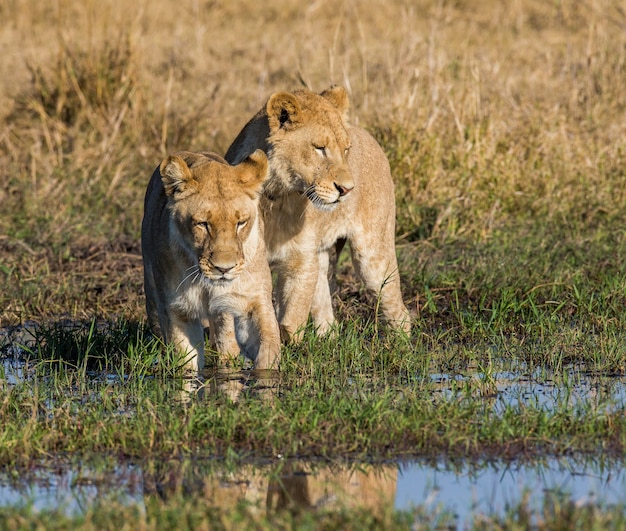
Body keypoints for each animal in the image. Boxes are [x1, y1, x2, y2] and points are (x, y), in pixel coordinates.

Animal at [141, 150, 280, 374]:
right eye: (202, 224)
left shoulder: (254, 299)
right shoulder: (177, 310)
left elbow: (267, 347)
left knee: (225, 338)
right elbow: (186, 361)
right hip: (152, 290)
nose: (224, 268)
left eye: (241, 223)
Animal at [224, 84, 410, 340]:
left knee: (396, 305)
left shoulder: (302, 261)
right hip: (322, 256)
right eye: (319, 148)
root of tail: (370, 136)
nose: (347, 190)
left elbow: (292, 319)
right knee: (324, 303)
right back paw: (327, 338)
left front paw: (290, 346)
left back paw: (399, 342)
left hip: (372, 255)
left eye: (346, 150)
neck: (276, 197)